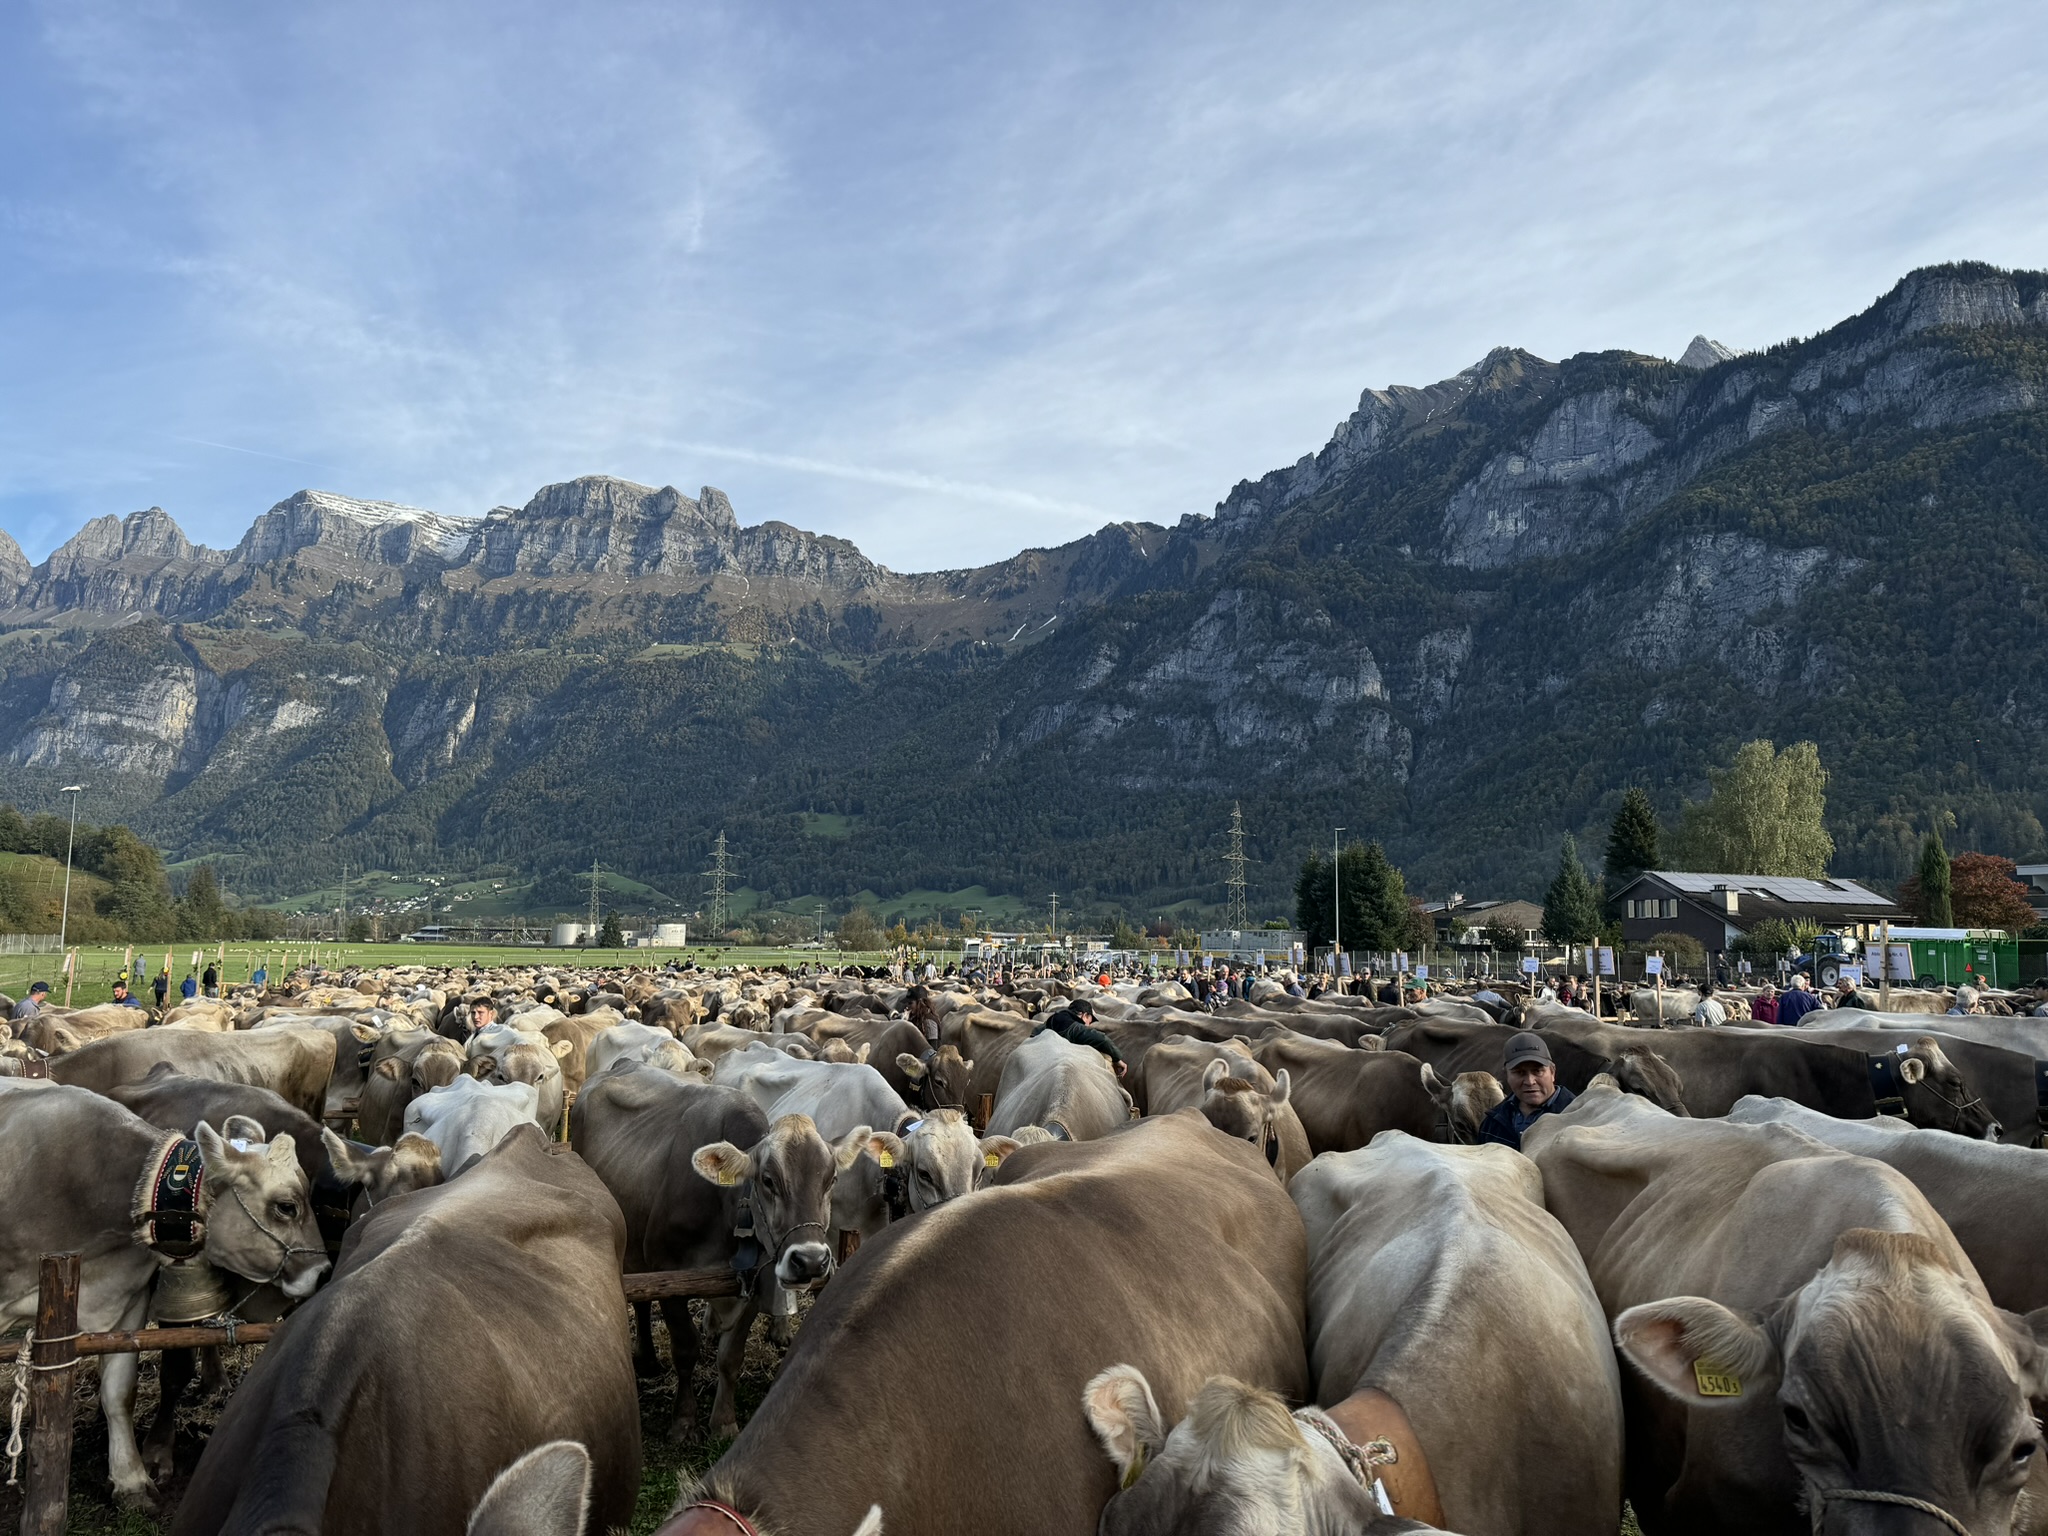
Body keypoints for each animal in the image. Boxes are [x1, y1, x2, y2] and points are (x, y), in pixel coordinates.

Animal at [572, 1063, 869, 1440]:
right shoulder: (670, 1276)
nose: (811, 1261)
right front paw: (684, 1420)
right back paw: (650, 1360)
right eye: (768, 1180)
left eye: (831, 1179)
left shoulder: (755, 1280)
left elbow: (731, 1356)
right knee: (640, 1300)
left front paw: (724, 1421)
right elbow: (686, 1348)